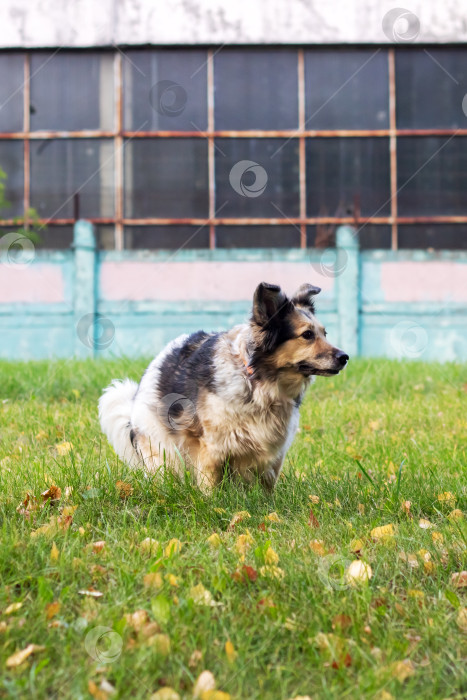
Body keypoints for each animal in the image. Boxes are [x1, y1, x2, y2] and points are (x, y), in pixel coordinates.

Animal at [98, 280, 348, 492]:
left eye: (324, 333)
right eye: (307, 335)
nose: (344, 357)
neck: (258, 382)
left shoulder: (273, 452)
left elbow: (268, 486)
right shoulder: (212, 449)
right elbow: (210, 487)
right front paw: (213, 505)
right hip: (162, 448)